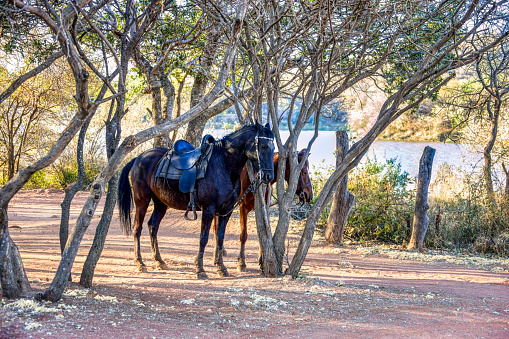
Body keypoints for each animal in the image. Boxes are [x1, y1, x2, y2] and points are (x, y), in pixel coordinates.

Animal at [117, 123, 274, 280]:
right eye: (263, 146)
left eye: (273, 148)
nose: (269, 176)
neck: (222, 165)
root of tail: (138, 158)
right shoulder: (209, 209)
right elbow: (203, 238)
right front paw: (200, 269)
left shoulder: (225, 211)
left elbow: (220, 238)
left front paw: (221, 268)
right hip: (141, 200)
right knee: (137, 228)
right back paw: (140, 263)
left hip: (161, 203)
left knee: (152, 226)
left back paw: (159, 261)